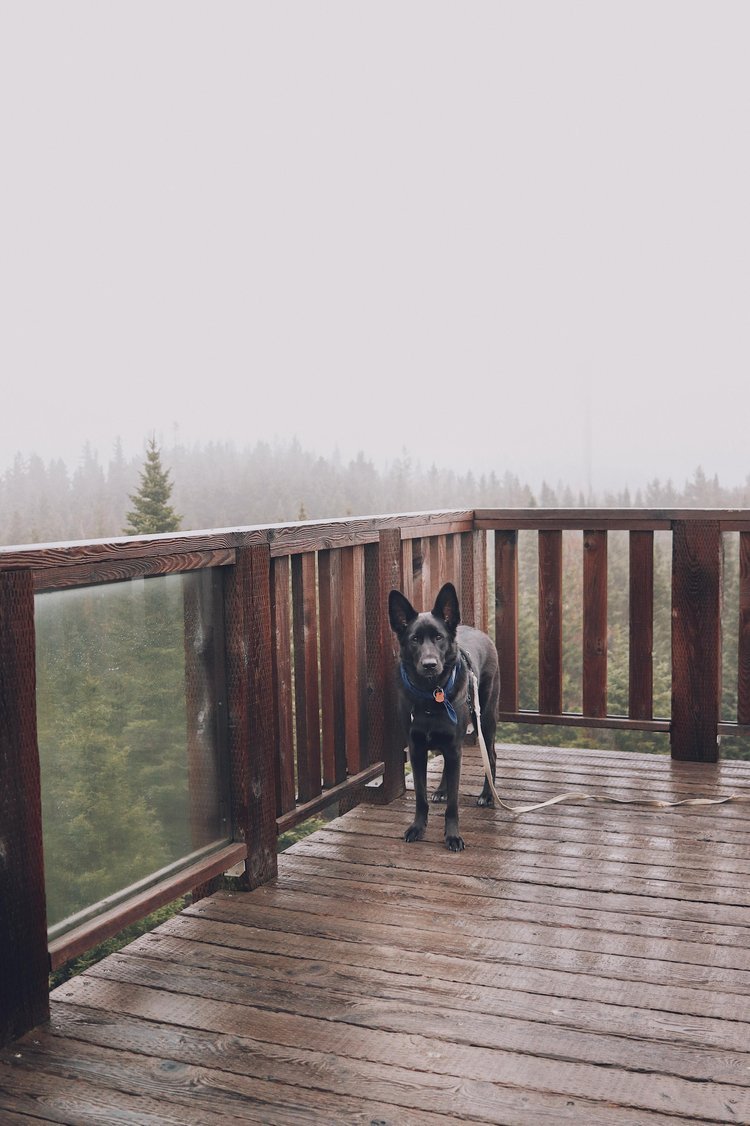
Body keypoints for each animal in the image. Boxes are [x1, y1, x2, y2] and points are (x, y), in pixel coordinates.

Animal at [387, 585, 500, 846]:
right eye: (415, 639)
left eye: (439, 637)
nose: (429, 664)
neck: (431, 695)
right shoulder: (417, 749)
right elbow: (420, 796)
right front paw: (417, 828)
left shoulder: (454, 746)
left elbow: (454, 804)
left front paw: (452, 835)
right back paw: (441, 790)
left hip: (485, 718)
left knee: (491, 755)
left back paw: (487, 795)